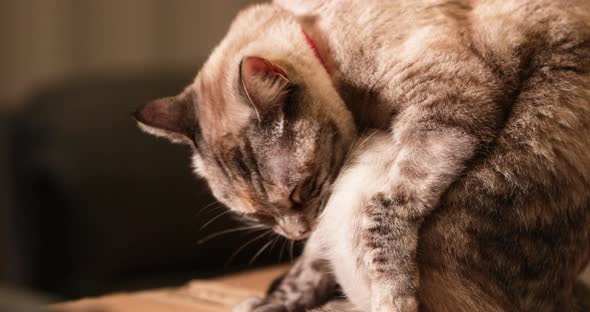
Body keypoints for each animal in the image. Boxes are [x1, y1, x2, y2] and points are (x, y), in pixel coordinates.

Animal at [134, 0, 590, 312]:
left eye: (299, 192)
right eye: (257, 217)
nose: (295, 233)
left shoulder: (449, 107)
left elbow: (384, 210)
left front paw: (393, 290)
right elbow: (308, 268)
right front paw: (277, 301)